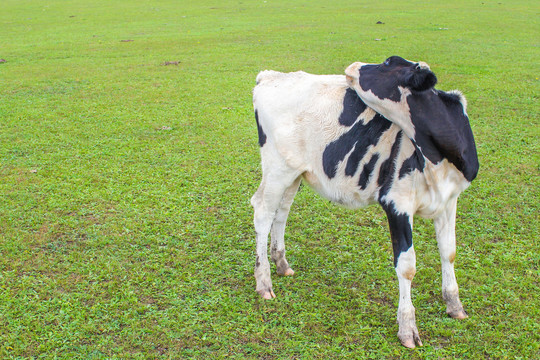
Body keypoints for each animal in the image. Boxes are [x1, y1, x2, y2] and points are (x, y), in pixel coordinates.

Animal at [251, 57, 478, 348]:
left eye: (386, 63)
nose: (354, 64)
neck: (438, 155)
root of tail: (272, 76)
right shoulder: (396, 203)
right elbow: (407, 266)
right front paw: (407, 328)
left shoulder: (449, 202)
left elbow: (449, 252)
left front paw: (454, 305)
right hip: (276, 169)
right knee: (263, 212)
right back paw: (264, 282)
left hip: (294, 172)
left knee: (281, 213)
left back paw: (281, 264)